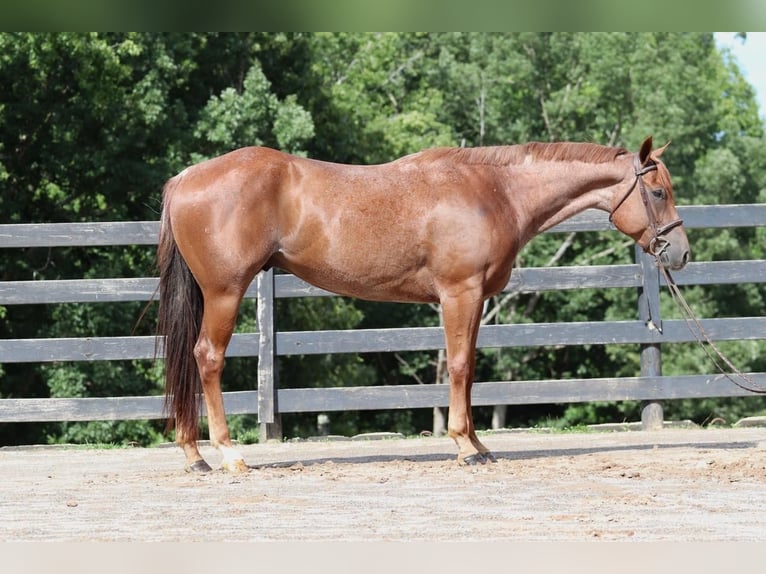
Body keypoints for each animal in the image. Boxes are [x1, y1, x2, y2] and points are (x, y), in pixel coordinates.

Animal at [156, 135, 688, 472]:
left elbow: (468, 369)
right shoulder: (459, 292)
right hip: (225, 292)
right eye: (658, 191)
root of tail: (184, 178)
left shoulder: (472, 299)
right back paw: (228, 455)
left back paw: (194, 455)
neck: (495, 192)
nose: (680, 254)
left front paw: (477, 444)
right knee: (208, 358)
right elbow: (458, 366)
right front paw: (464, 447)